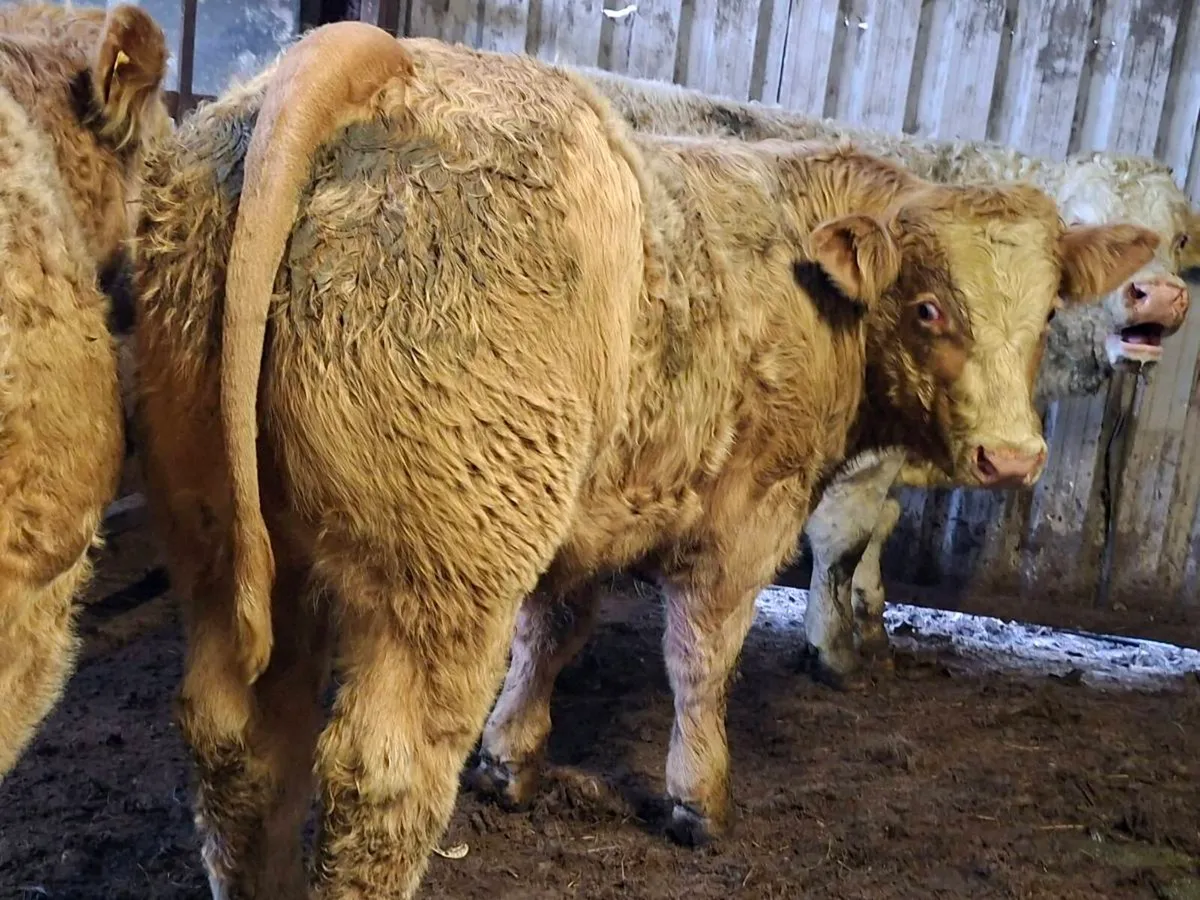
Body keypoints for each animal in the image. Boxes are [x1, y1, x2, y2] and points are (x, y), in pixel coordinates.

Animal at [576, 66, 1195, 686]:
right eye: (1084, 216)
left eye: (1180, 238)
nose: (1162, 295)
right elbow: (846, 537)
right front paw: (834, 650)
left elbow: (882, 528)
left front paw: (870, 626)